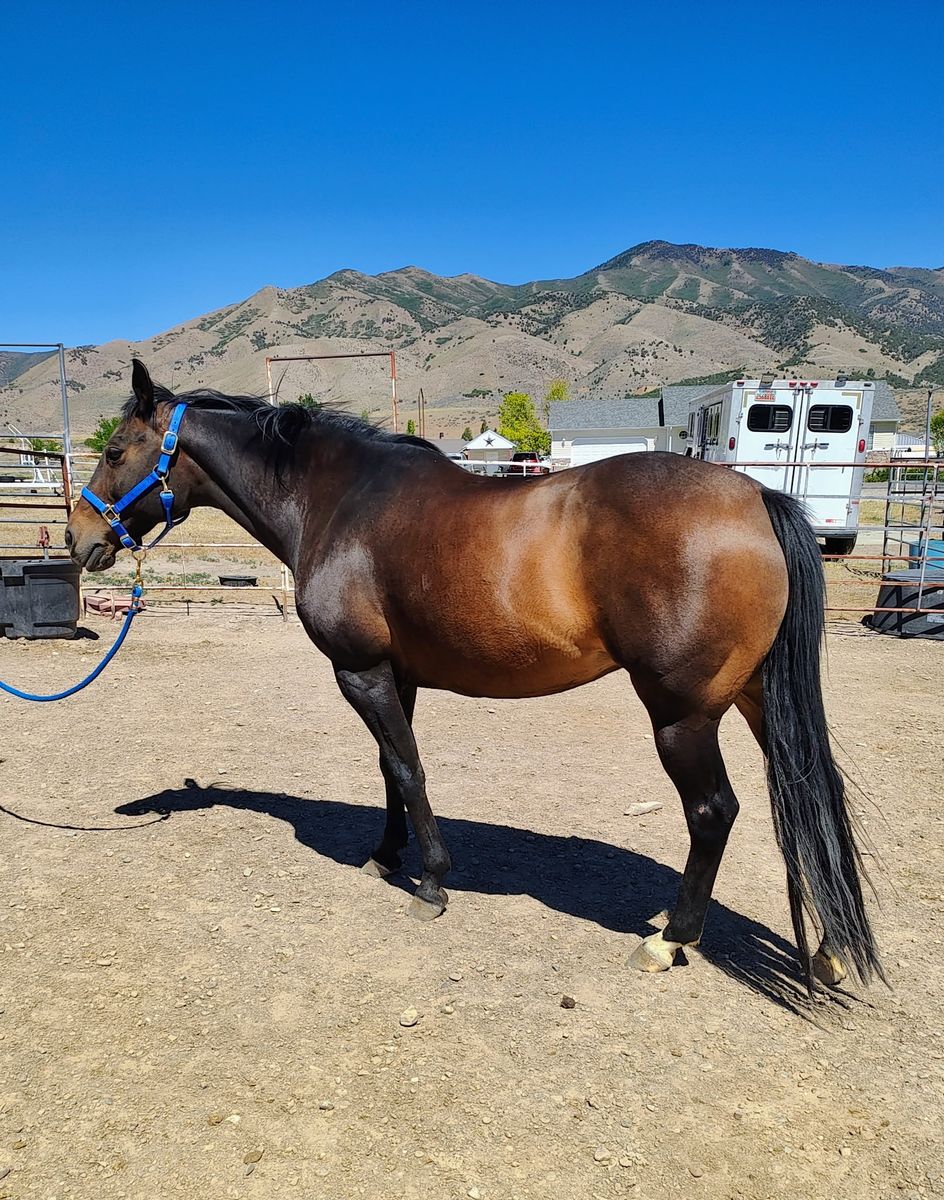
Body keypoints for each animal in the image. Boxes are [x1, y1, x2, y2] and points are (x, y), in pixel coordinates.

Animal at [65, 360, 882, 990]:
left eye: (116, 449)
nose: (79, 539)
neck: (336, 502)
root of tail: (757, 498)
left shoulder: (360, 672)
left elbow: (408, 768)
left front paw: (430, 881)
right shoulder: (396, 676)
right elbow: (390, 768)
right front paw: (384, 855)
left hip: (682, 718)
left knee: (715, 812)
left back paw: (671, 940)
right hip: (754, 700)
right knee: (805, 798)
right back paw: (829, 946)